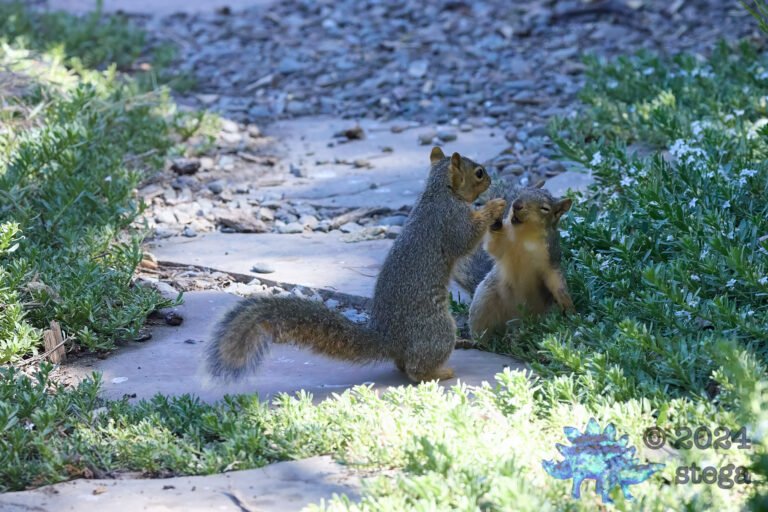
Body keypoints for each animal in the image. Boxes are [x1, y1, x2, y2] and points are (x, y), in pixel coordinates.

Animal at [206, 147, 507, 383]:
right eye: (479, 173)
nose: (491, 178)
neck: (438, 193)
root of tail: (389, 340)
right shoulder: (449, 220)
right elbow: (464, 240)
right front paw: (494, 205)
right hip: (438, 328)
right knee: (414, 369)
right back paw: (439, 373)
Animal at [464, 183, 574, 341]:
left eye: (545, 208)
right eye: (519, 194)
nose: (517, 204)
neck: (525, 235)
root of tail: (517, 321)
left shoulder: (551, 257)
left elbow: (555, 280)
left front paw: (569, 307)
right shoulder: (503, 244)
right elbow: (494, 247)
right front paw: (495, 219)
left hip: (546, 311)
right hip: (483, 302)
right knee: (482, 331)